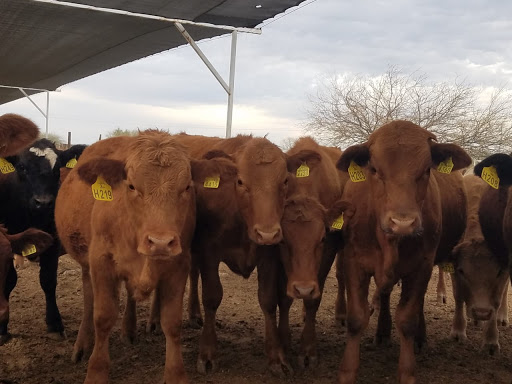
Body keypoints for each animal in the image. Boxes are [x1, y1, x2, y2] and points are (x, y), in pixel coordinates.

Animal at [0, 140, 87, 344]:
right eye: (21, 167)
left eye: (57, 169)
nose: (44, 202)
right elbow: (9, 280)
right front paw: (2, 328)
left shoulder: (53, 240)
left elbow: (48, 280)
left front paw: (54, 323)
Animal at [55, 130, 199, 382]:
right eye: (131, 186)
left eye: (187, 187)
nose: (160, 242)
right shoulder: (101, 263)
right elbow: (103, 317)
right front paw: (96, 372)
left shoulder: (179, 266)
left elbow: (172, 323)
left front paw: (176, 375)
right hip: (87, 264)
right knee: (89, 300)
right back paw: (83, 345)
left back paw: (129, 330)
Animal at [334, 121, 470, 384]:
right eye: (374, 169)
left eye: (427, 170)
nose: (402, 223)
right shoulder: (354, 261)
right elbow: (356, 318)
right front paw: (347, 371)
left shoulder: (421, 266)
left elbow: (407, 319)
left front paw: (407, 371)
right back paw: (382, 333)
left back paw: (420, 339)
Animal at [450, 175, 510, 354]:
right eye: (462, 271)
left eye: (497, 272)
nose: (482, 313)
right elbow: (458, 296)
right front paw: (458, 331)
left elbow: (497, 300)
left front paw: (491, 340)